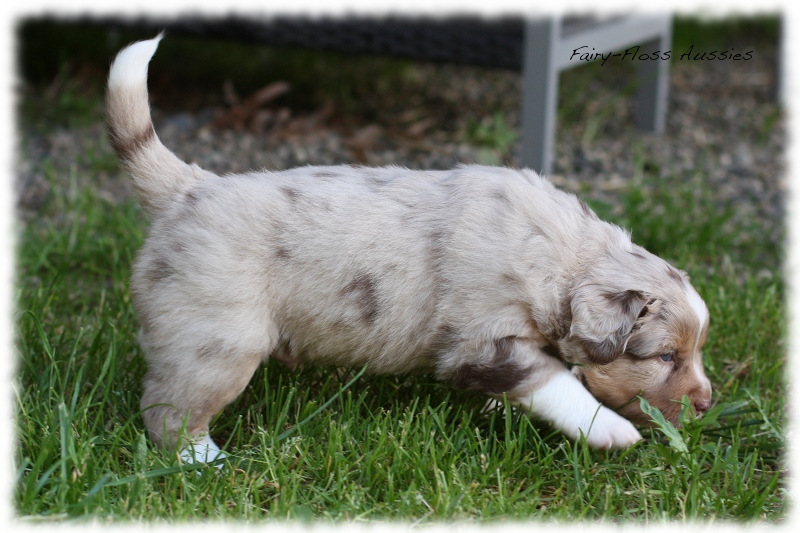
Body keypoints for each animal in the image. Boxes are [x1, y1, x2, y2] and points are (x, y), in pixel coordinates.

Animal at [106, 35, 712, 460]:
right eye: (665, 356)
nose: (707, 403)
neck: (564, 258)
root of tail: (189, 187)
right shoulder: (480, 340)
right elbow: (555, 379)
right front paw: (610, 431)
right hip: (218, 341)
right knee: (169, 411)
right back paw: (205, 462)